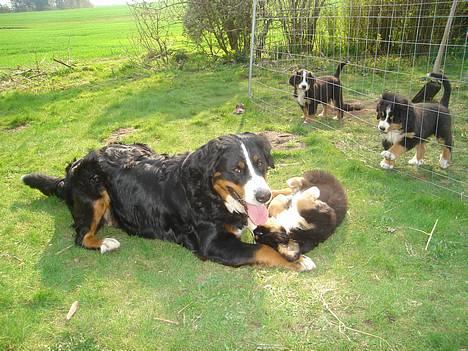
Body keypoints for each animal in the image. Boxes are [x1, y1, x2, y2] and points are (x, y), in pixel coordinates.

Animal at [22, 133, 314, 274]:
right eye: (237, 170)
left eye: (260, 164)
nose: (262, 196)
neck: (210, 194)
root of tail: (72, 169)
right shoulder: (213, 244)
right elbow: (260, 250)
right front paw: (297, 260)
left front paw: (300, 189)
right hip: (95, 196)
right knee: (81, 235)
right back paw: (106, 243)